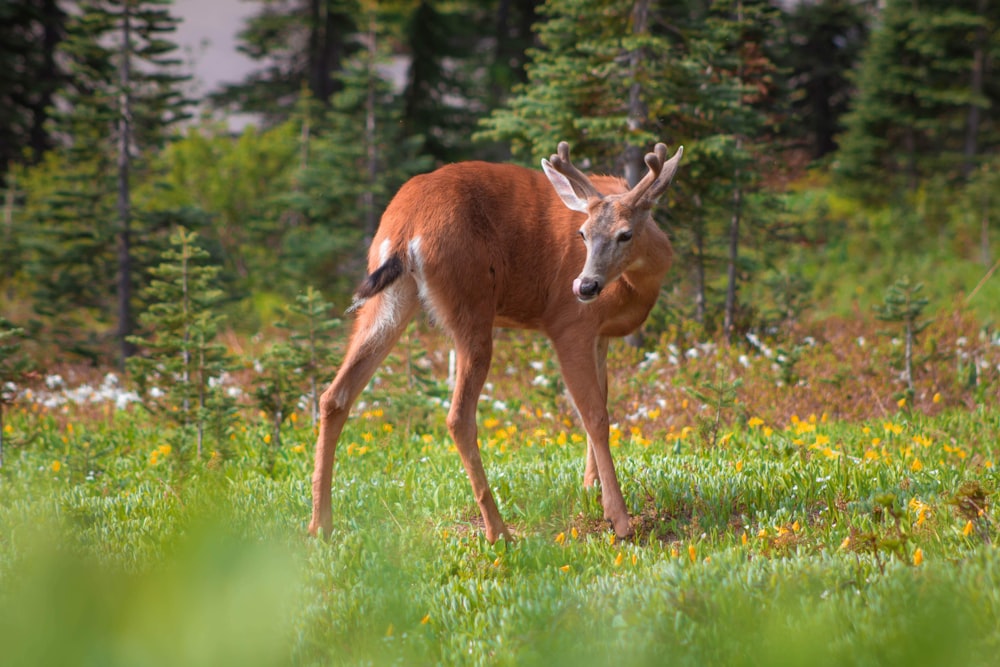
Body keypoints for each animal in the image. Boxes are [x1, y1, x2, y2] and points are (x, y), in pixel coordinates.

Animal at [308, 140, 684, 544]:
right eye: (582, 235)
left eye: (625, 234)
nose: (585, 286)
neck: (639, 284)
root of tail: (406, 226)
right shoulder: (569, 325)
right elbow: (596, 416)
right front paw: (619, 518)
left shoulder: (599, 335)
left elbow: (600, 403)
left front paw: (589, 490)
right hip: (470, 302)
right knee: (459, 417)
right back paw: (498, 530)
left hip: (391, 299)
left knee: (334, 395)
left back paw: (320, 523)